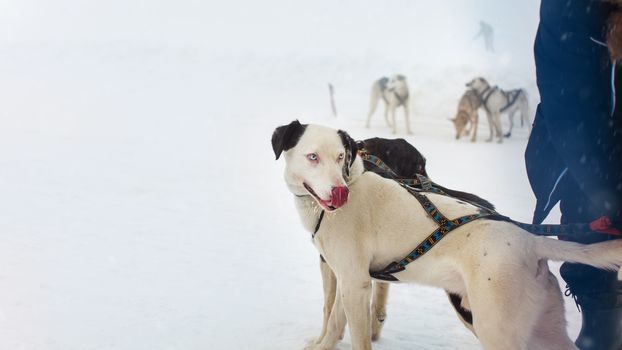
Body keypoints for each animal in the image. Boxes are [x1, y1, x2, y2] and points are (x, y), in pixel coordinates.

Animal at [272, 119, 622, 348]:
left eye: (341, 157)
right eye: (313, 157)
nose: (339, 193)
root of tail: (531, 242)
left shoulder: (354, 283)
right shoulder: (348, 279)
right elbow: (333, 321)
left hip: (495, 326)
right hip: (543, 329)